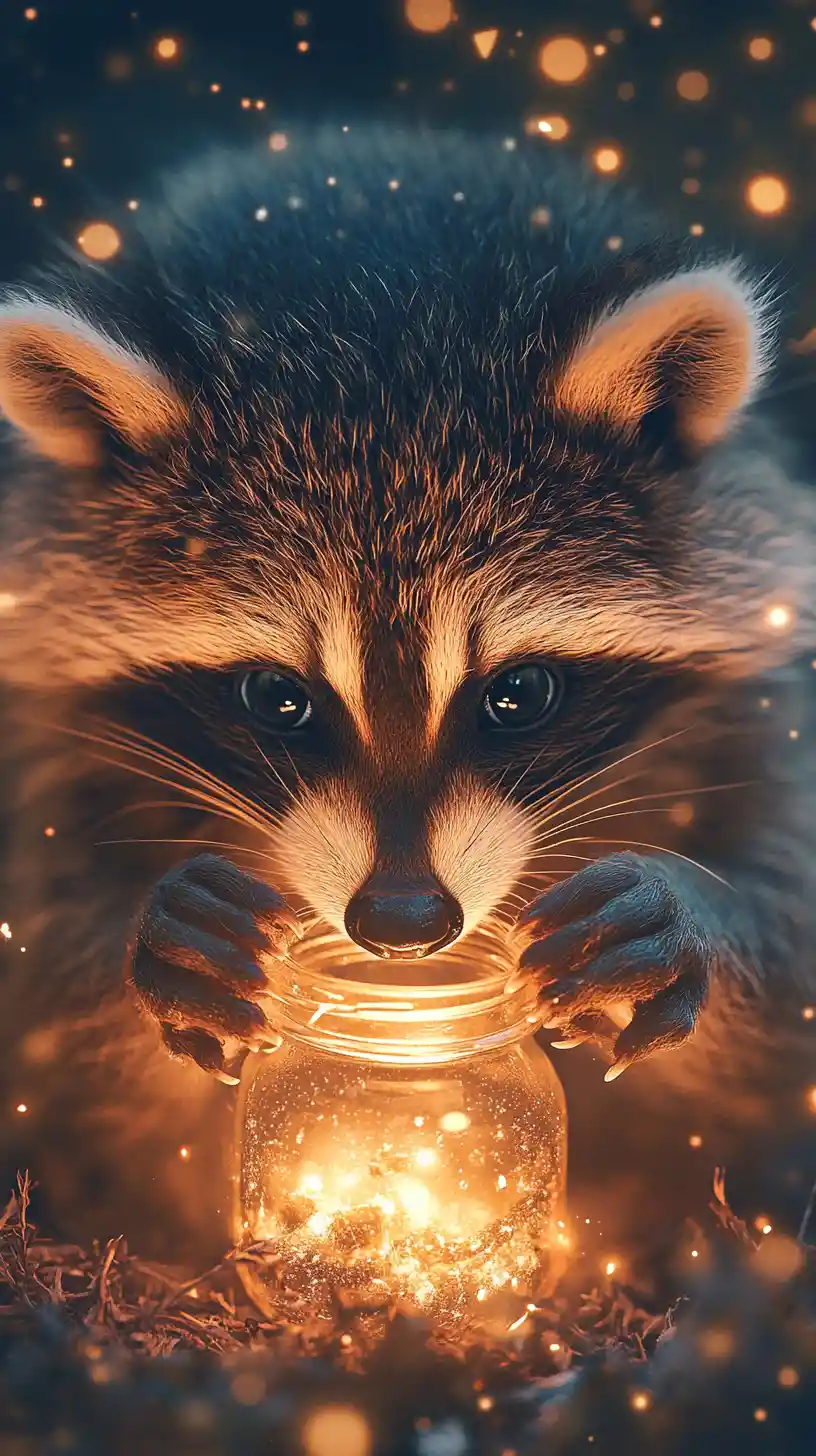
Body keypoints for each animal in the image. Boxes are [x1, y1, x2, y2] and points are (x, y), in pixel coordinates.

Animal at [0, 128, 814, 1261]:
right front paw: (150, 935)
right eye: (278, 698)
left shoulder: (753, 678)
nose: (401, 923)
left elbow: (788, 939)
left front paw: (692, 914)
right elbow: (47, 990)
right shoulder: (48, 710)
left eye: (519, 693)